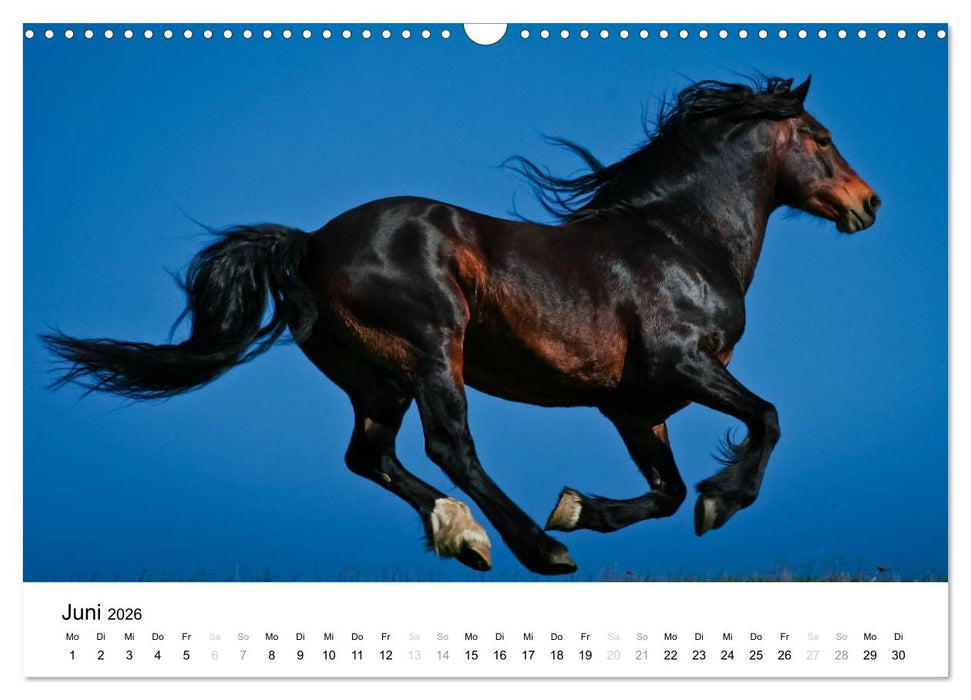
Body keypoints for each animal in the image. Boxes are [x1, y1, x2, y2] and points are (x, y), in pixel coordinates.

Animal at [44, 76, 880, 576]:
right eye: (820, 137)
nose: (866, 203)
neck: (679, 237)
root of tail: (310, 243)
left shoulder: (634, 405)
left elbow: (667, 492)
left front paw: (583, 506)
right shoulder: (681, 365)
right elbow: (765, 419)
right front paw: (719, 501)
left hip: (375, 379)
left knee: (370, 458)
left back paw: (465, 533)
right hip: (432, 348)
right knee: (449, 446)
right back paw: (533, 547)